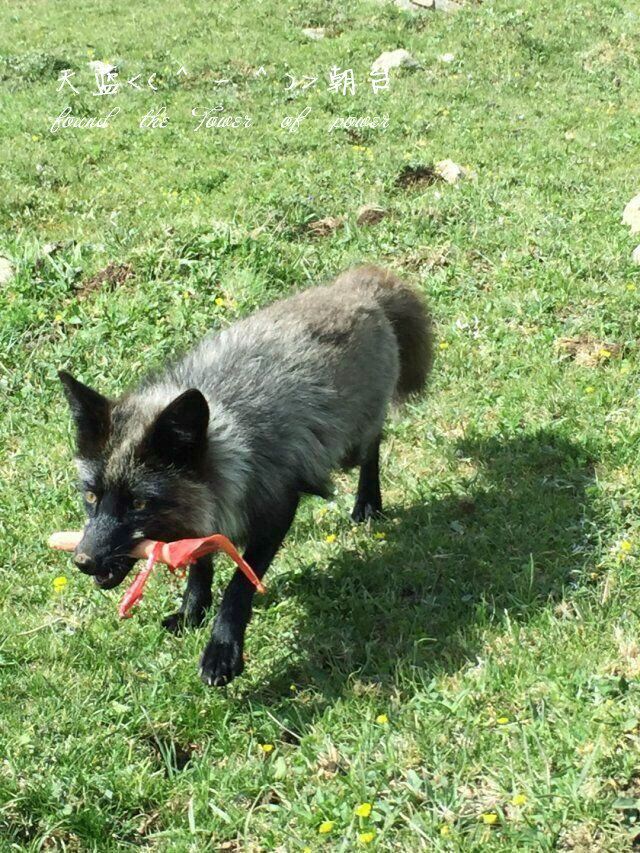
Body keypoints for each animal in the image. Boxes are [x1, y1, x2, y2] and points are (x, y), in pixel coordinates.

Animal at [60, 266, 432, 684]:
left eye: (139, 504)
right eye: (91, 496)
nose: (82, 561)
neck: (231, 444)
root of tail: (356, 289)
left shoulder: (277, 508)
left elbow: (239, 586)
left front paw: (223, 650)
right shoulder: (205, 513)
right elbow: (200, 566)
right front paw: (192, 613)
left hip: (350, 447)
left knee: (373, 446)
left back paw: (368, 503)